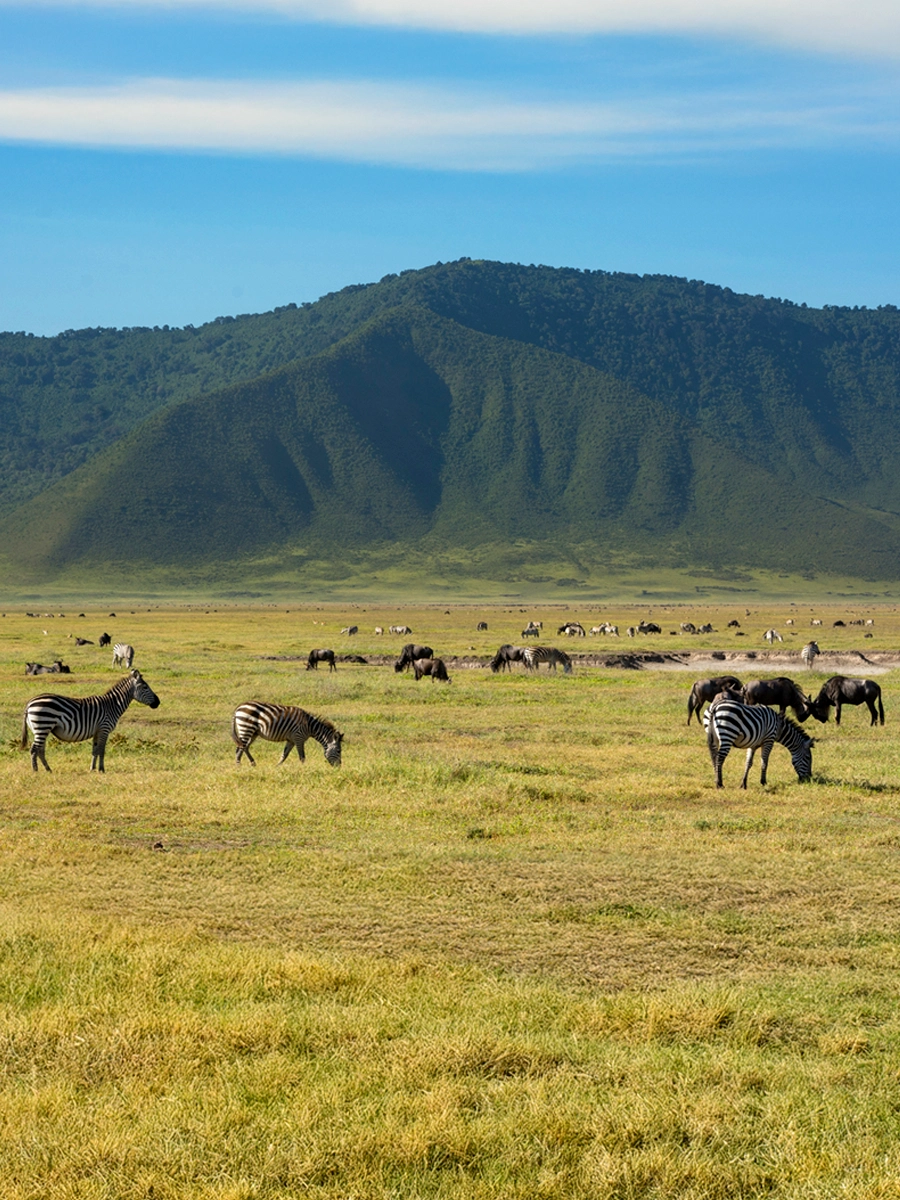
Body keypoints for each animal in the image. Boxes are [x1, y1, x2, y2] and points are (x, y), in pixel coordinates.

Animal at [21, 672, 160, 772]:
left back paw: (48, 769)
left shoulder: (97, 731)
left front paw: (92, 769)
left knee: (40, 750)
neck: (112, 705)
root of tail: (29, 704)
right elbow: (101, 750)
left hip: (40, 729)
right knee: (34, 750)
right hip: (43, 726)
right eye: (145, 687)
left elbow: (95, 750)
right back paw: (35, 771)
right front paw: (102, 770)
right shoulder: (104, 729)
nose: (158, 702)